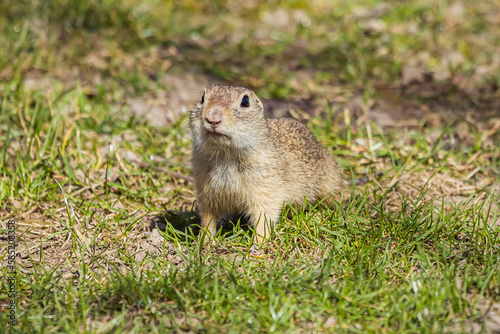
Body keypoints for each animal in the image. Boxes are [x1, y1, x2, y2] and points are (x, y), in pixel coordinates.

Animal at [188, 85, 344, 244]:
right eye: (202, 98)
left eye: (245, 101)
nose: (213, 119)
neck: (225, 154)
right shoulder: (206, 192)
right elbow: (208, 218)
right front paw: (202, 240)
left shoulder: (265, 189)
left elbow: (264, 216)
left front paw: (259, 243)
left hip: (329, 184)